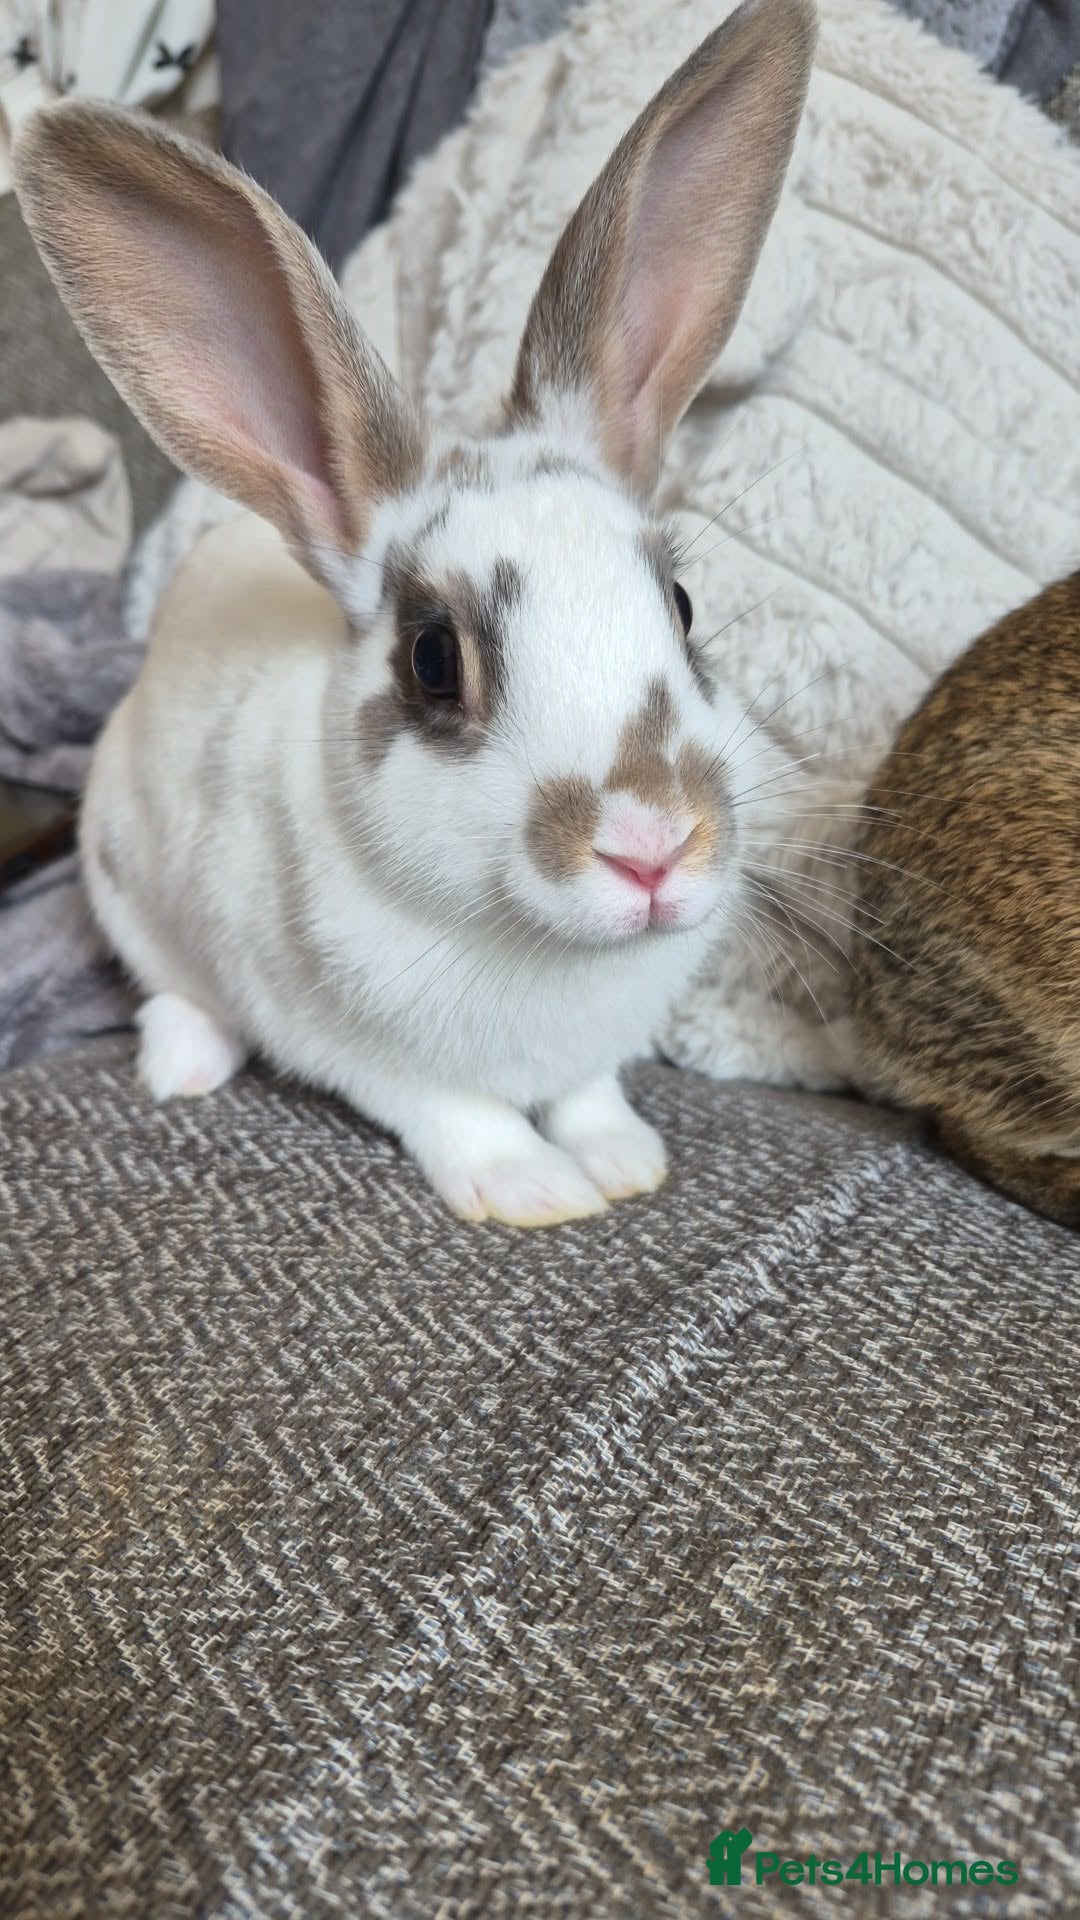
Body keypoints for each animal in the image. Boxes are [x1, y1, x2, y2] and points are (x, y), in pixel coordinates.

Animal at [12, 0, 816, 1228]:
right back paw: (183, 1065)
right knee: (172, 990)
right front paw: (534, 1189)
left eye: (681, 605)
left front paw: (623, 1161)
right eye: (435, 661)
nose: (654, 847)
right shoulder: (358, 1046)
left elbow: (588, 1093)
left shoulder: (591, 1053)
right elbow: (453, 1109)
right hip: (127, 887)